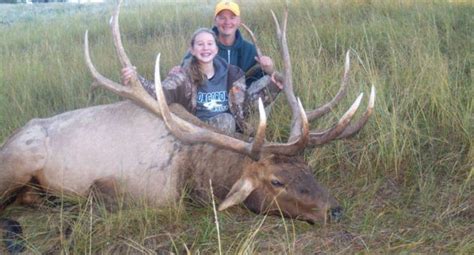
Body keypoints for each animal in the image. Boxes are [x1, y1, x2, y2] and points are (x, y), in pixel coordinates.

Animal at [1, 1, 376, 253]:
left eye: (306, 167)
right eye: (276, 181)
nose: (335, 210)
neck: (192, 172)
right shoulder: (117, 188)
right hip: (17, 163)